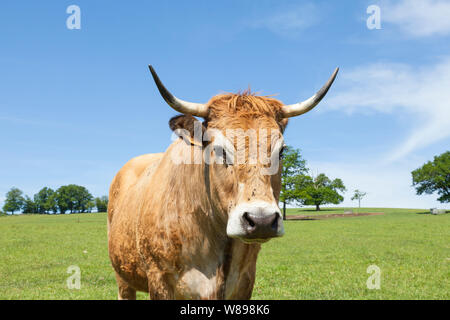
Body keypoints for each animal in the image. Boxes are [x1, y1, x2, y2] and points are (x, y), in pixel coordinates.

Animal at [106, 65, 338, 300]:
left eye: (281, 151)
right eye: (218, 149)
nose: (261, 220)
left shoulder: (245, 280)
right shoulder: (159, 280)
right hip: (122, 277)